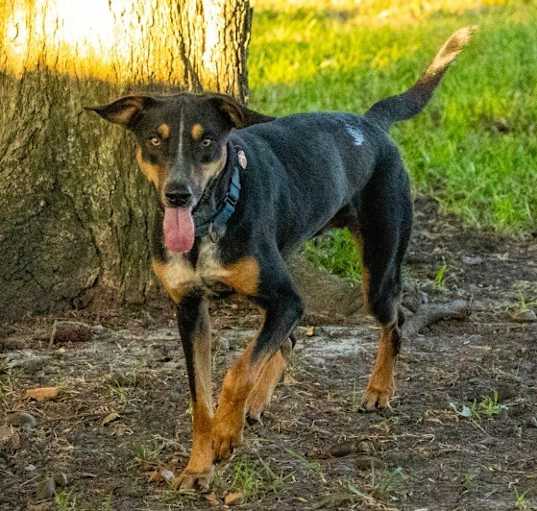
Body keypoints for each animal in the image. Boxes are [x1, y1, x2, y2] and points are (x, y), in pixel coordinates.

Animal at [87, 27, 474, 488]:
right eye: (154, 139)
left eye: (207, 141)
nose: (177, 194)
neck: (209, 222)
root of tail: (369, 123)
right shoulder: (189, 309)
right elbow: (201, 398)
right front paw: (198, 467)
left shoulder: (285, 299)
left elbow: (236, 372)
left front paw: (225, 434)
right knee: (287, 338)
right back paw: (259, 401)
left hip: (377, 268)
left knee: (393, 322)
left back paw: (379, 389)